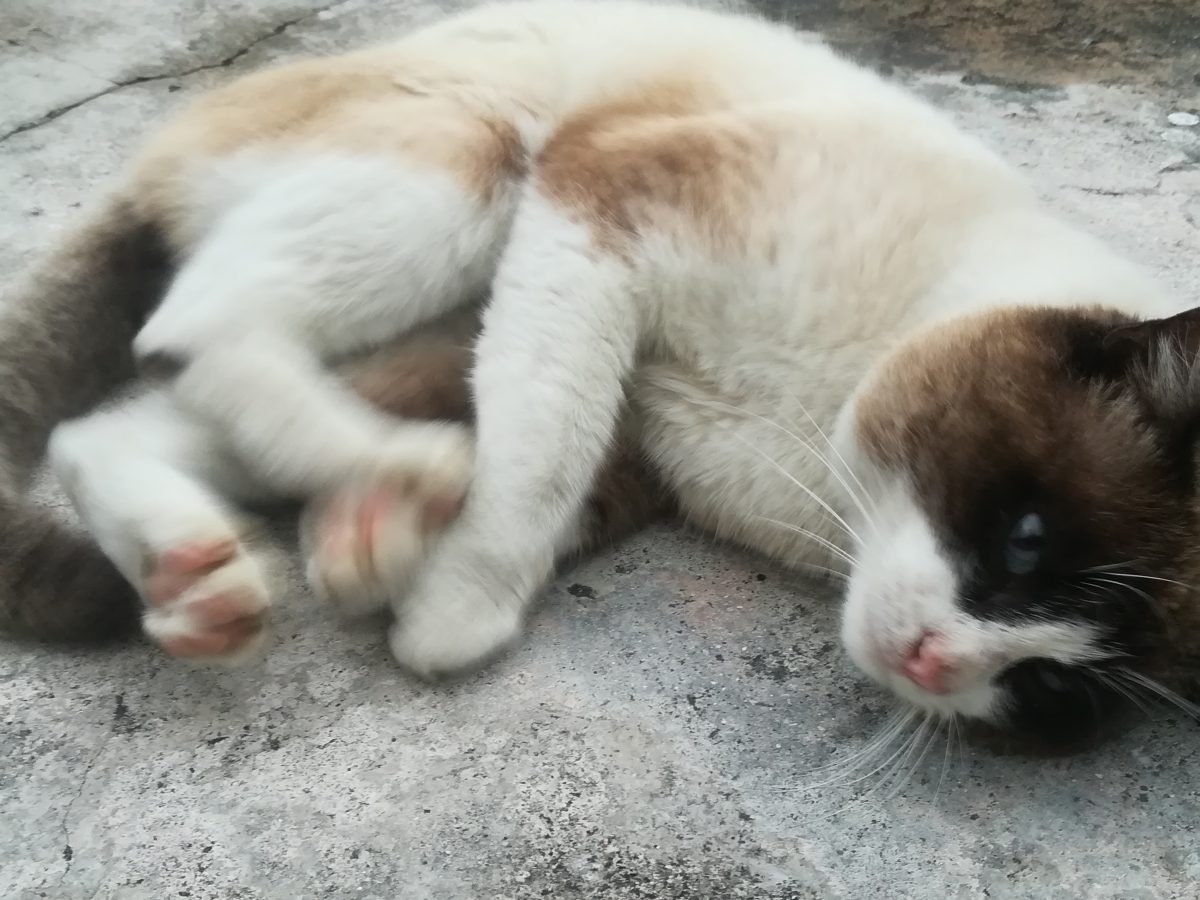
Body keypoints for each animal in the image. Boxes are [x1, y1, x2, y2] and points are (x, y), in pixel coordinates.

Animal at [2, 0, 1198, 749]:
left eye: (1049, 688)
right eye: (1025, 539)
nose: (936, 662)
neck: (817, 457)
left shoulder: (630, 441)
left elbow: (543, 468)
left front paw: (369, 551)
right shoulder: (603, 208)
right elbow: (535, 461)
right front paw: (451, 616)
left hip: (436, 325)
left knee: (116, 423)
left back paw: (206, 572)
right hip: (481, 160)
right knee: (196, 323)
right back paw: (389, 475)